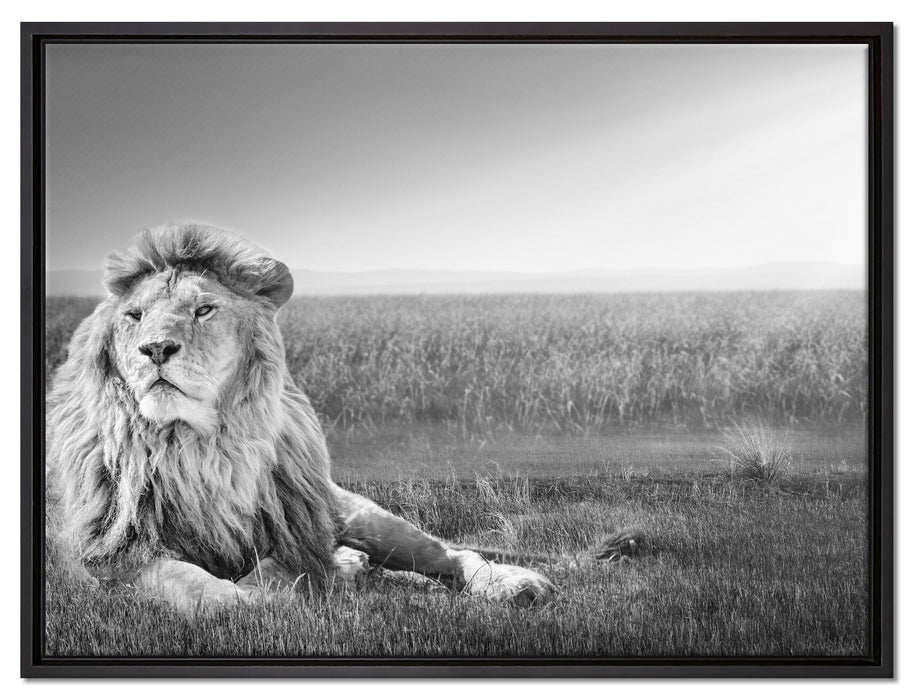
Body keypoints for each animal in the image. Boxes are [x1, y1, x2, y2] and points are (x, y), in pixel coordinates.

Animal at [47, 222, 637, 612]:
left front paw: (316, 576)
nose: (155, 349)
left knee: (451, 554)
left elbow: (279, 572)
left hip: (359, 515)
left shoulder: (294, 527)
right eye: (134, 316)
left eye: (204, 309)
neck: (198, 446)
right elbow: (204, 590)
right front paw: (286, 588)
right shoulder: (109, 557)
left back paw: (511, 583)